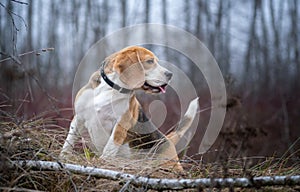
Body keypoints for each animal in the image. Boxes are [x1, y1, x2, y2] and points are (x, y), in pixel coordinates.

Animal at [59, 45, 198, 170]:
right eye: (150, 61)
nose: (170, 74)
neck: (111, 88)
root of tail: (167, 140)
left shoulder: (120, 126)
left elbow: (109, 147)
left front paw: (101, 164)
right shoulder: (78, 118)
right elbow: (69, 141)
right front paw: (62, 158)